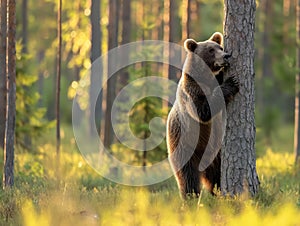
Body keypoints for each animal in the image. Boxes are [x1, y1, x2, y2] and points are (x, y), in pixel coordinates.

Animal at [166, 32, 239, 200]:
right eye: (211, 50)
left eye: (220, 47)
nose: (226, 56)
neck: (207, 77)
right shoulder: (191, 90)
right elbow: (203, 111)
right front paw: (231, 83)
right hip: (185, 146)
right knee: (188, 177)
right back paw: (191, 197)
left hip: (217, 153)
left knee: (216, 177)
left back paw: (218, 193)